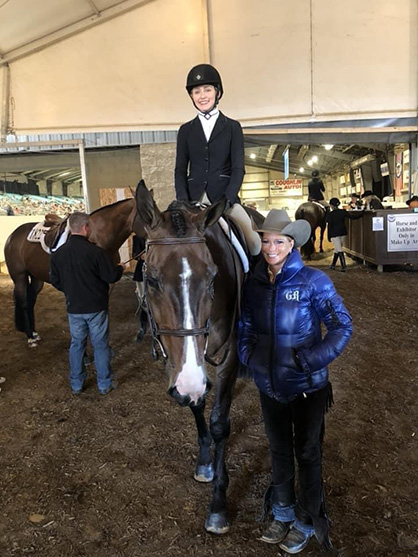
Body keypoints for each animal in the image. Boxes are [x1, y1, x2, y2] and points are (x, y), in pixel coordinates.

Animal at [4, 195, 140, 344]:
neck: (98, 236)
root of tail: (12, 236)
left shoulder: (107, 284)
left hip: (36, 278)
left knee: (31, 300)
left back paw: (34, 333)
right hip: (19, 277)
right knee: (23, 302)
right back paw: (30, 337)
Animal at [135, 180, 251, 532]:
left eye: (213, 277)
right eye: (152, 279)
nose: (189, 383)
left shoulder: (226, 357)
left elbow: (219, 423)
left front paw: (218, 506)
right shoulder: (184, 367)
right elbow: (197, 405)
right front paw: (204, 463)